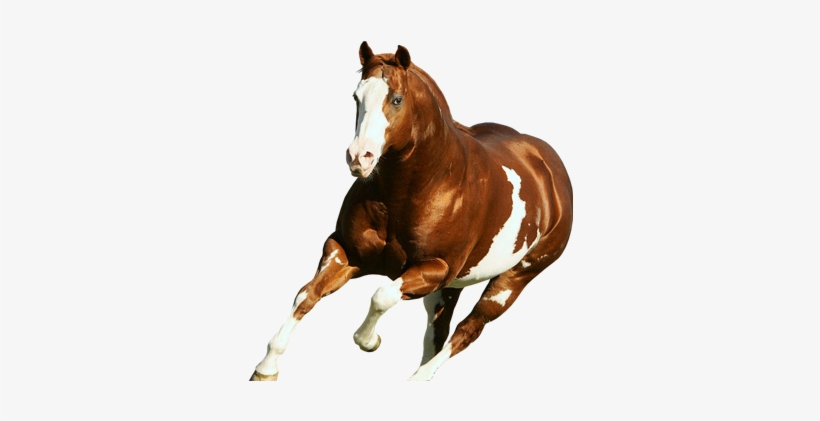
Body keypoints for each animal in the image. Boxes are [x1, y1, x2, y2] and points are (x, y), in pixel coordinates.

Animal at [251, 42, 573, 381]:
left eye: (396, 99)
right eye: (356, 96)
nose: (359, 158)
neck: (411, 191)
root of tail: (550, 166)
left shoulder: (437, 269)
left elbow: (381, 295)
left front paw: (369, 340)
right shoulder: (345, 251)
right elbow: (307, 294)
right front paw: (266, 367)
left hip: (514, 278)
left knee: (468, 329)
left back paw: (418, 378)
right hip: (449, 290)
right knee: (437, 333)